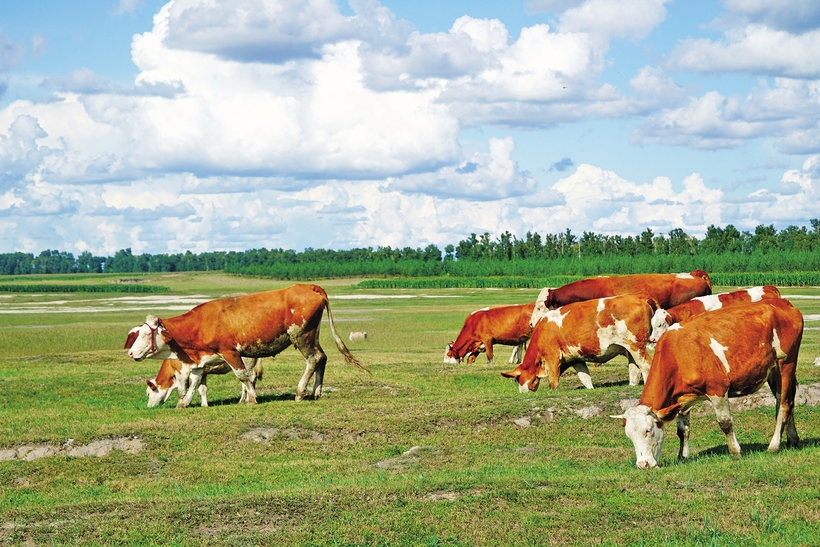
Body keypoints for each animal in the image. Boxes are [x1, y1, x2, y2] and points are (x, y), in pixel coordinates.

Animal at [125, 284, 368, 404]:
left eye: (145, 334)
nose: (130, 353)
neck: (201, 323)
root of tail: (309, 286)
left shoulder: (230, 352)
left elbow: (242, 375)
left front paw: (251, 398)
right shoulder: (202, 361)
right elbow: (196, 384)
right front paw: (184, 403)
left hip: (301, 336)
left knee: (313, 359)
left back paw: (300, 393)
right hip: (312, 335)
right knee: (322, 358)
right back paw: (316, 392)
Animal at [502, 294, 656, 392]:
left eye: (517, 379)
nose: (522, 392)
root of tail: (640, 298)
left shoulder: (553, 357)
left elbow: (553, 381)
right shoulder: (576, 358)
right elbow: (585, 378)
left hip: (636, 346)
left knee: (646, 365)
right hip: (629, 350)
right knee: (634, 369)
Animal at [616, 298, 800, 468]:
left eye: (648, 430)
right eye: (629, 435)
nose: (642, 464)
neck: (678, 354)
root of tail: (781, 302)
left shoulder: (717, 389)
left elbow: (725, 423)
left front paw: (736, 451)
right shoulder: (680, 399)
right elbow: (682, 430)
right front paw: (682, 456)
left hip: (786, 362)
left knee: (784, 404)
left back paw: (774, 446)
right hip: (772, 369)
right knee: (786, 401)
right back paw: (792, 439)